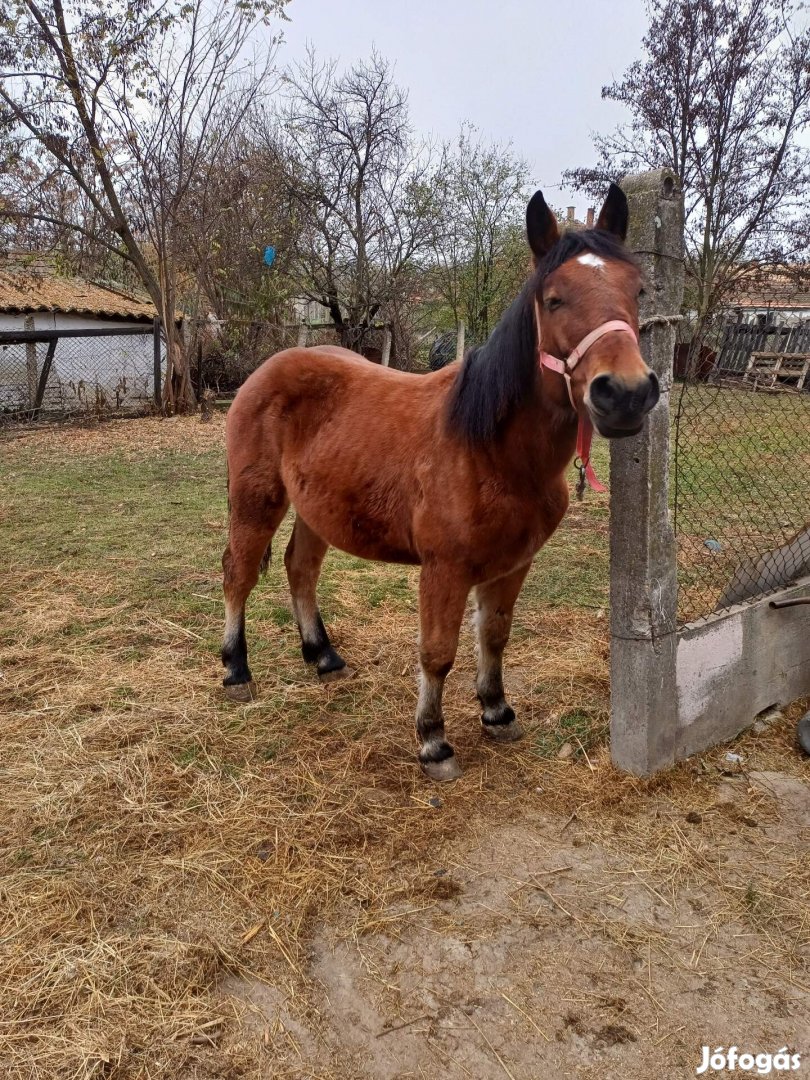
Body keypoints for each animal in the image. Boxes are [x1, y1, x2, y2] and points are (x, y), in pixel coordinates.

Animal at [222, 185, 660, 777]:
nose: (627, 394)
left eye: (637, 289)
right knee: (238, 574)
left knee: (300, 569)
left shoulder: (513, 564)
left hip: (315, 509)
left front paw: (497, 711)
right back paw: (236, 670)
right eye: (553, 299)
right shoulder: (444, 570)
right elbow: (437, 652)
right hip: (256, 500)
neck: (490, 449)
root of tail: (268, 369)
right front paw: (433, 740)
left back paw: (324, 656)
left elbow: (493, 635)